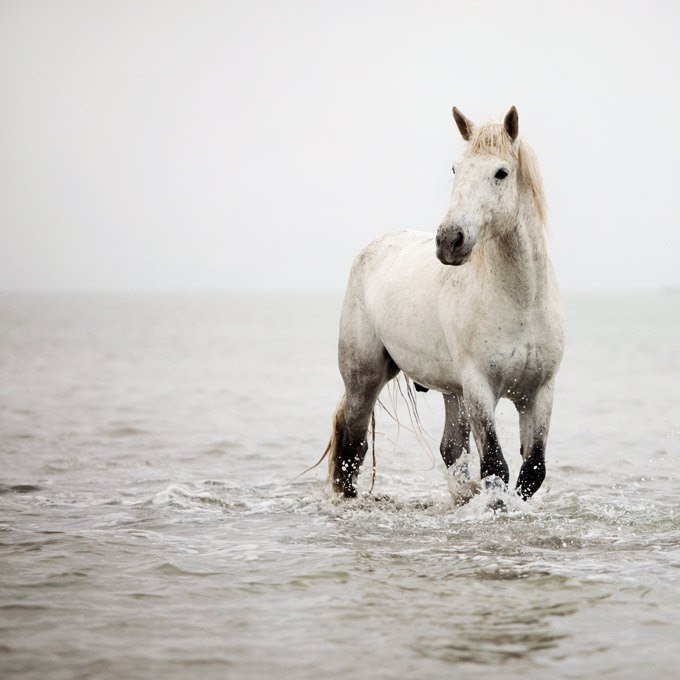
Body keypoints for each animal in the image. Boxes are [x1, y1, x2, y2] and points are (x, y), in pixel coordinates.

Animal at [324, 105, 564, 500]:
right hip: (364, 378)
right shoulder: (480, 388)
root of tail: (373, 249)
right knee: (351, 443)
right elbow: (495, 467)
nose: (450, 240)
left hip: (453, 392)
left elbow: (532, 471)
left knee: (451, 448)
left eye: (501, 172)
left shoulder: (538, 393)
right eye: (455, 169)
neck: (521, 303)